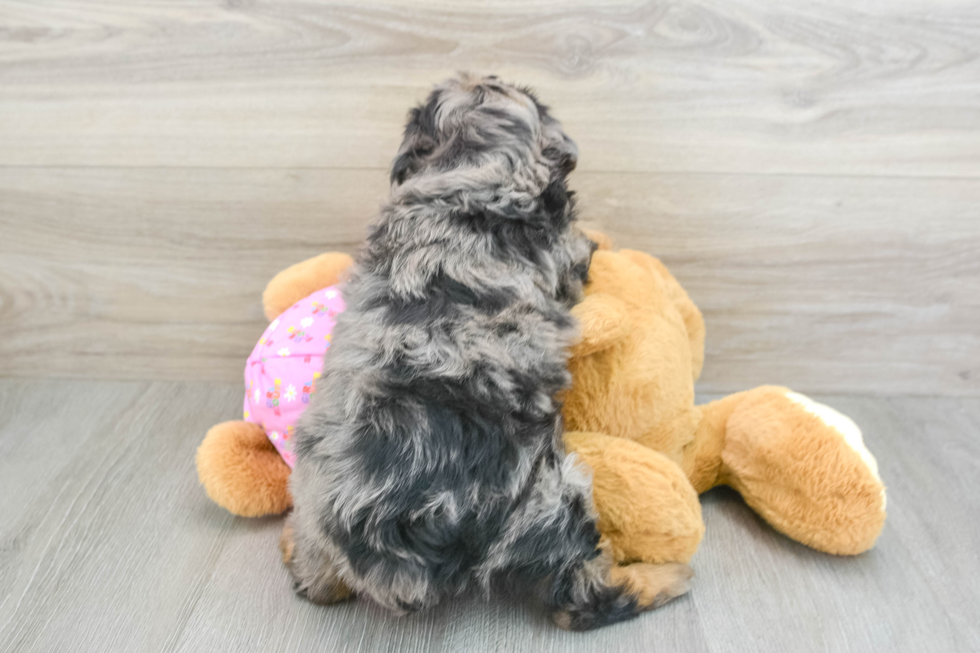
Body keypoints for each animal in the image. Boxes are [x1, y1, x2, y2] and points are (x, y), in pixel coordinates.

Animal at [284, 74, 688, 628]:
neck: (472, 164)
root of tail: (390, 535)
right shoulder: (565, 256)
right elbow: (584, 244)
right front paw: (603, 235)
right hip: (549, 497)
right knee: (582, 598)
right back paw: (668, 577)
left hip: (313, 496)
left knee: (319, 579)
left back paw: (296, 556)